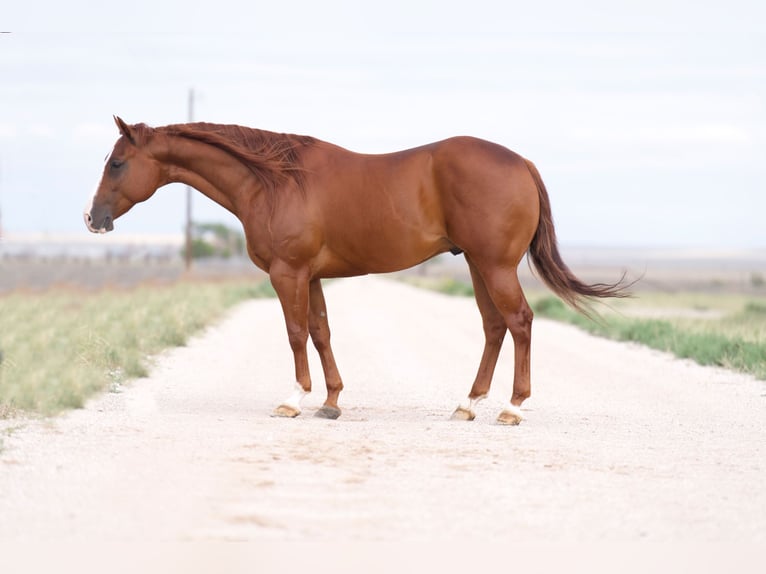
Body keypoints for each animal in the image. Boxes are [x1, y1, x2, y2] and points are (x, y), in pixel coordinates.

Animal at [84, 115, 632, 426]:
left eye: (117, 163)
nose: (92, 219)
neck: (274, 181)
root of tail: (520, 162)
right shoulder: (311, 277)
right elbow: (321, 332)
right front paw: (331, 401)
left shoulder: (287, 273)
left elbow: (295, 334)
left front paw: (293, 399)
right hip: (479, 266)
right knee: (495, 327)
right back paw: (468, 404)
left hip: (495, 266)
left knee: (519, 322)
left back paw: (512, 408)